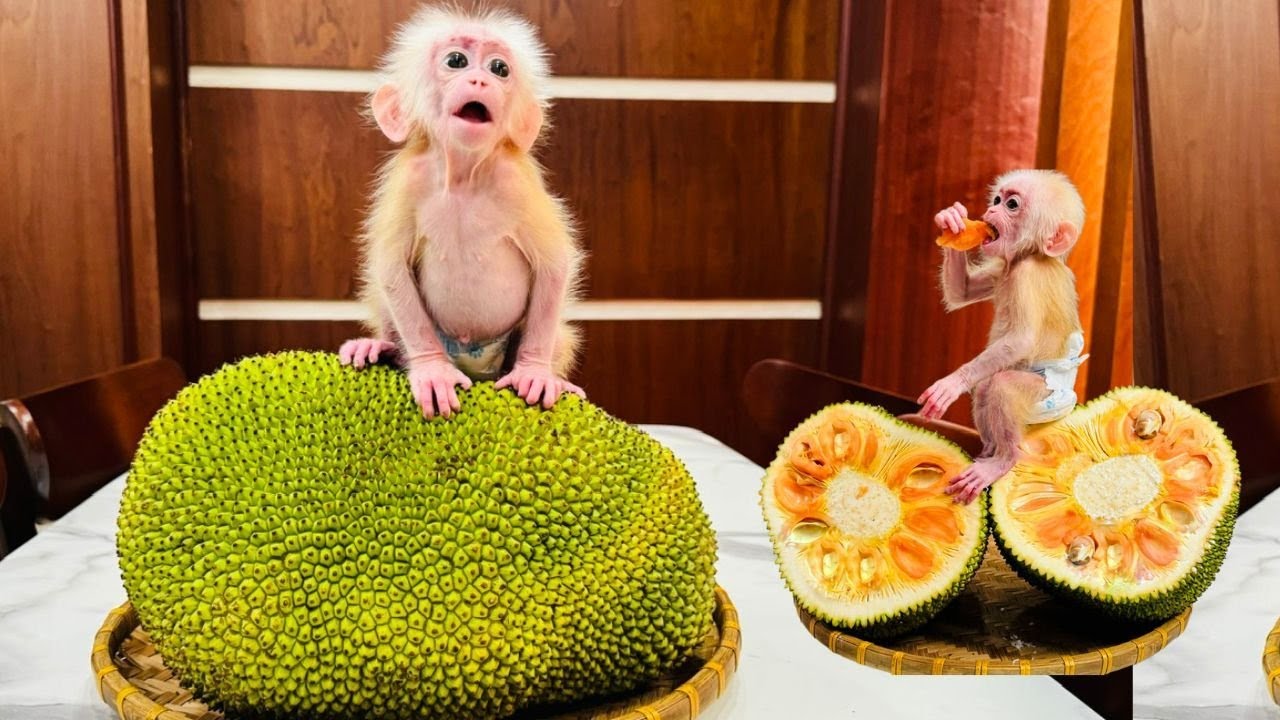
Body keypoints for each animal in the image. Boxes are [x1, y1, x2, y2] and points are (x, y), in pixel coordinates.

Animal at [337, 5, 584, 419]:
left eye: (499, 68)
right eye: (456, 61)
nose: (480, 80)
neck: (465, 174)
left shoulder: (516, 181)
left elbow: (554, 265)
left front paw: (534, 372)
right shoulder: (408, 179)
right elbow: (391, 267)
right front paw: (431, 368)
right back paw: (381, 347)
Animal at [918, 169, 1088, 504]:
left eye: (1012, 205)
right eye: (997, 199)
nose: (992, 210)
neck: (1027, 255)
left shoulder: (1028, 276)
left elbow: (1022, 340)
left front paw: (951, 384)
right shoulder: (1001, 267)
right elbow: (962, 292)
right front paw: (952, 221)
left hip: (1048, 396)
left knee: (1002, 386)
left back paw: (1005, 459)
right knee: (985, 386)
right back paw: (988, 451)